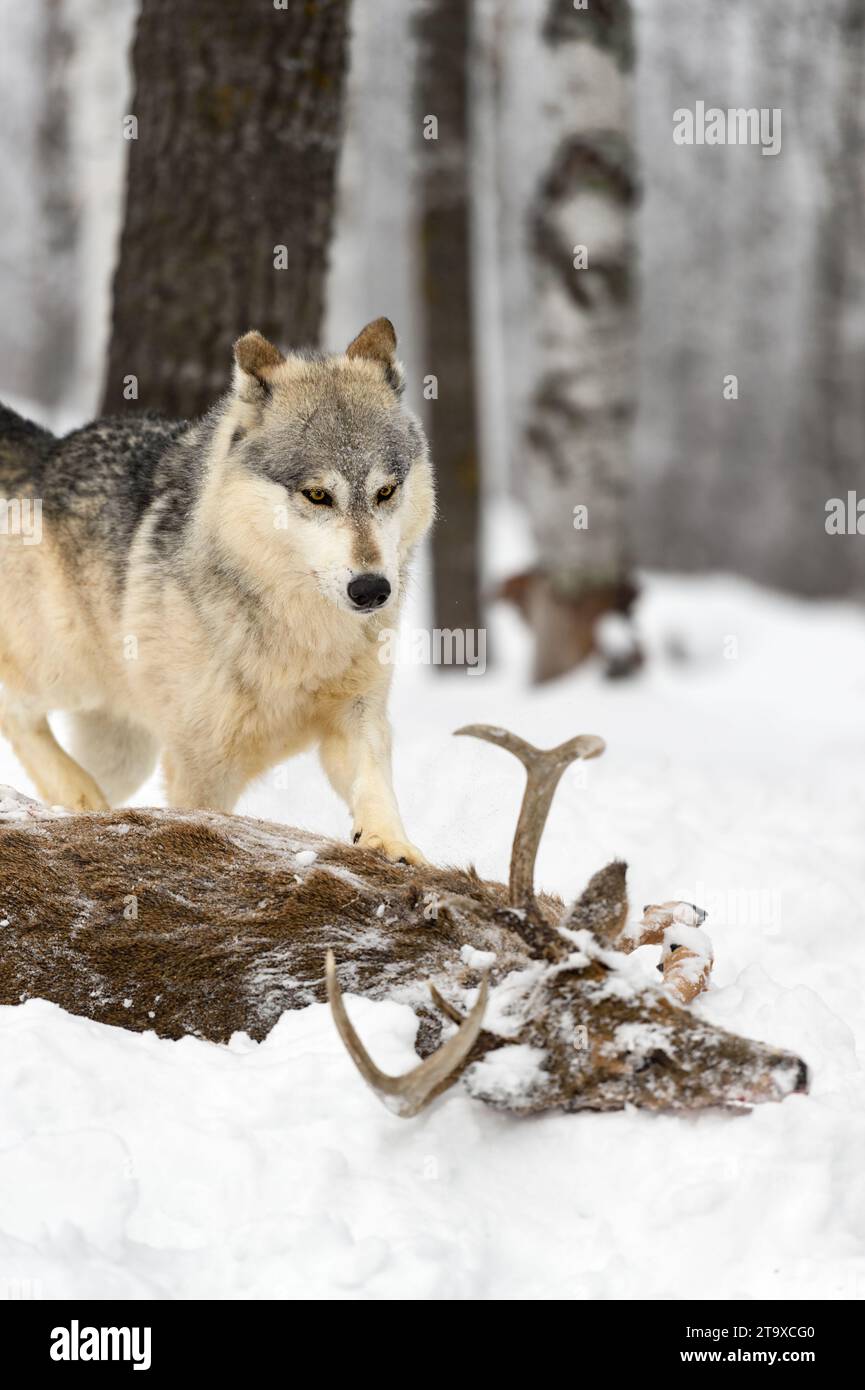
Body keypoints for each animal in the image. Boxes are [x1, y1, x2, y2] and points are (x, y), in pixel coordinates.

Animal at [0, 318, 434, 863]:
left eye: (385, 492)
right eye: (318, 495)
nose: (372, 589)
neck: (297, 628)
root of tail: (51, 449)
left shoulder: (357, 714)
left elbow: (374, 782)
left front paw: (392, 845)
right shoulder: (201, 765)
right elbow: (205, 821)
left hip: (125, 751)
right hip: (65, 669)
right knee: (14, 708)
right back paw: (77, 791)